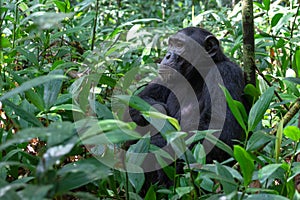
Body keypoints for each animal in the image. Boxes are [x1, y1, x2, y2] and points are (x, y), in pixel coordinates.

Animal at [125, 27, 245, 194]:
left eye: (180, 45)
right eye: (171, 44)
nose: (167, 55)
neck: (196, 76)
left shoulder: (226, 74)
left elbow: (220, 134)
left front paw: (153, 144)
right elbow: (139, 100)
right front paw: (159, 112)